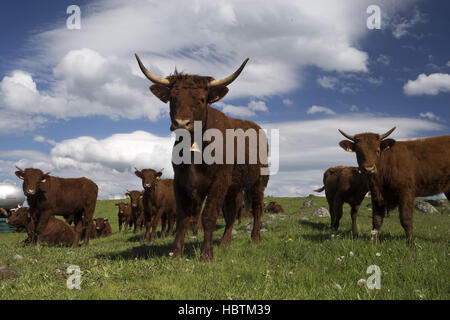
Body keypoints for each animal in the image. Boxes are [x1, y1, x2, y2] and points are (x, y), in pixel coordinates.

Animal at [135, 54, 268, 260]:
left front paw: (206, 254)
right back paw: (225, 242)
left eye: (202, 99)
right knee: (231, 212)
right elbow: (184, 217)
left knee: (257, 208)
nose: (182, 123)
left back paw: (255, 238)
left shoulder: (219, 181)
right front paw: (177, 252)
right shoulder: (181, 182)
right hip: (234, 187)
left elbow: (209, 215)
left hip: (258, 181)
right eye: (173, 97)